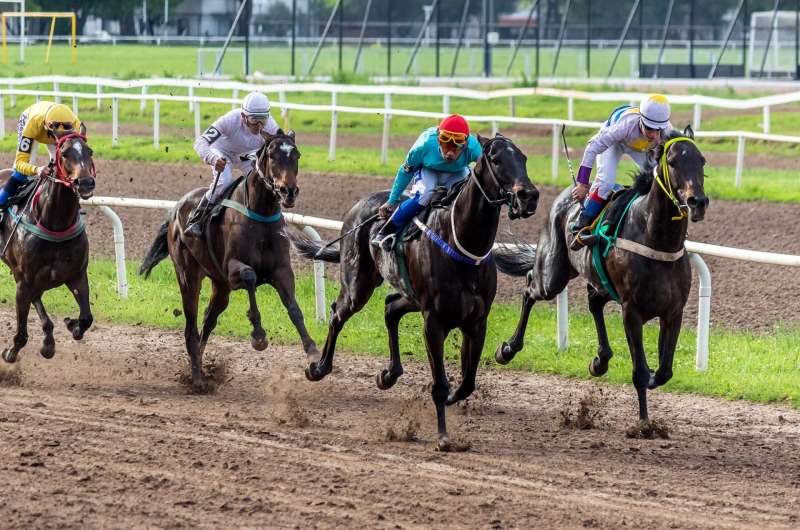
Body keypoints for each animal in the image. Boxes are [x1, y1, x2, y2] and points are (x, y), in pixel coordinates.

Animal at [0, 132, 97, 364]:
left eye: (89, 151)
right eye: (65, 153)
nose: (85, 182)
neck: (56, 224)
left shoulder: (77, 275)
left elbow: (86, 317)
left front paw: (72, 325)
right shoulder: (24, 282)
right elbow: (21, 332)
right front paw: (11, 353)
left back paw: (49, 340)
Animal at [141, 128, 318, 388]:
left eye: (296, 155)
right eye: (272, 155)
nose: (289, 191)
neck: (260, 214)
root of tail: (176, 209)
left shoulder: (281, 270)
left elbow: (294, 309)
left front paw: (313, 355)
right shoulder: (232, 270)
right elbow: (250, 275)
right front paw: (258, 335)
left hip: (220, 286)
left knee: (208, 319)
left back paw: (200, 367)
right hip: (188, 276)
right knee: (191, 327)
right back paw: (197, 379)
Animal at [284, 133, 540, 446]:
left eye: (524, 158)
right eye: (496, 159)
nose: (529, 195)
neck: (462, 246)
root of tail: (359, 206)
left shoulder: (476, 322)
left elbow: (467, 383)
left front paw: (456, 393)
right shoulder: (434, 322)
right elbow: (439, 384)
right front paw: (443, 435)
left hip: (410, 296)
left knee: (391, 307)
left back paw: (388, 374)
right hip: (358, 285)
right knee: (338, 313)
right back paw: (319, 368)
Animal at [494, 126, 708, 418]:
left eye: (702, 161)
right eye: (673, 162)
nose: (698, 202)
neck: (656, 239)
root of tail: (570, 189)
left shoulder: (673, 311)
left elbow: (665, 371)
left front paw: (654, 377)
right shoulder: (632, 311)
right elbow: (640, 372)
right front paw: (644, 421)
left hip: (601, 282)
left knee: (593, 299)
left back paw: (600, 360)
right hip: (552, 275)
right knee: (530, 288)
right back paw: (508, 349)